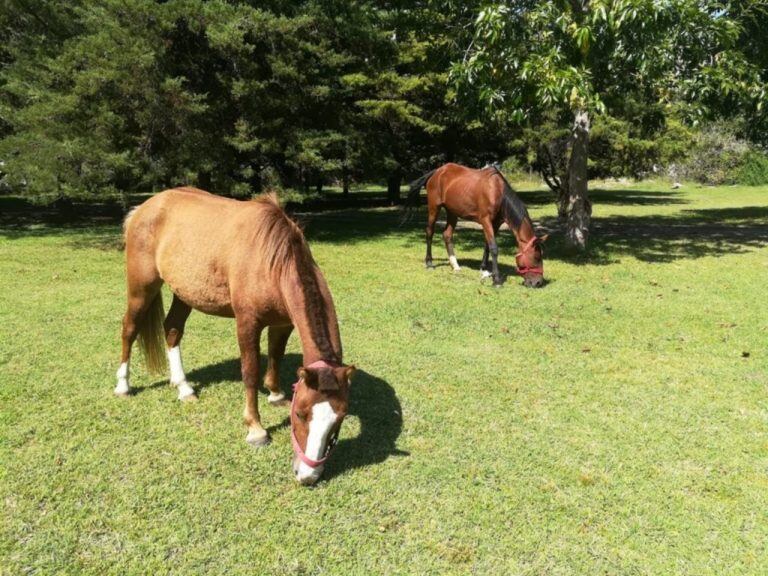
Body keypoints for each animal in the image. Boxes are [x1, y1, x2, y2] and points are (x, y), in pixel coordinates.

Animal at [115, 189, 356, 486]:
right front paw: (256, 429)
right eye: (300, 413)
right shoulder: (247, 323)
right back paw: (123, 386)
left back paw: (183, 387)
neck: (271, 260)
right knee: (129, 329)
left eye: (340, 418)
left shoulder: (282, 323)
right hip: (142, 287)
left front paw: (275, 394)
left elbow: (275, 356)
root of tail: (143, 209)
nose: (308, 475)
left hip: (184, 292)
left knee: (172, 330)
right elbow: (250, 371)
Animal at [404, 163, 548, 286]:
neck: (497, 192)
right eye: (536, 257)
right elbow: (494, 247)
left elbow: (488, 246)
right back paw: (429, 262)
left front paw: (484, 269)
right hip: (434, 207)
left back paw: (455, 265)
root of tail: (437, 172)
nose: (538, 283)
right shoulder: (486, 221)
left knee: (447, 235)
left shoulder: (495, 223)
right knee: (430, 232)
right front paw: (496, 280)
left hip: (452, 212)